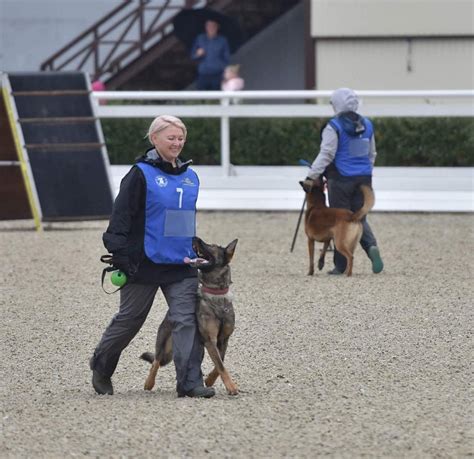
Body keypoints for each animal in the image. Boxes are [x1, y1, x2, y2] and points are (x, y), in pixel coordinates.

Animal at [139, 237, 239, 396]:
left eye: (212, 246)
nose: (194, 238)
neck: (216, 296)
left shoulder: (223, 340)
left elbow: (220, 363)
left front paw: (210, 380)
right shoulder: (210, 340)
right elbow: (221, 365)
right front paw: (231, 386)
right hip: (164, 344)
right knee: (156, 361)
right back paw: (149, 383)